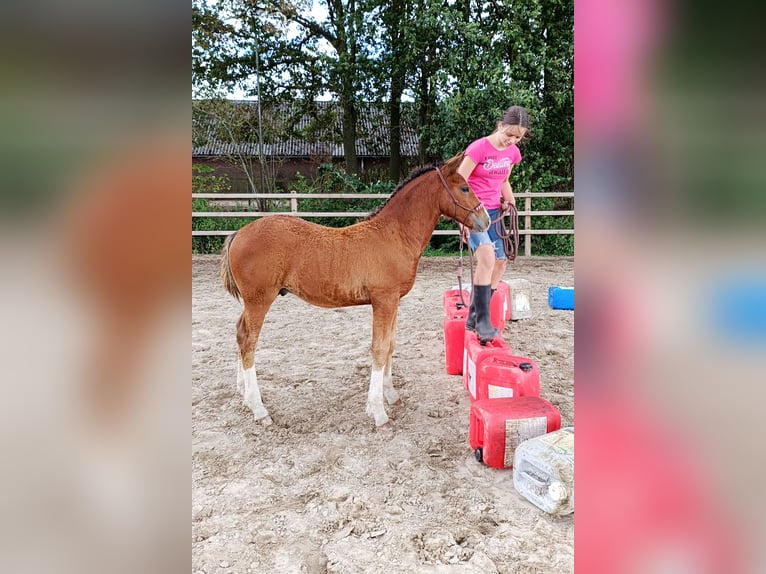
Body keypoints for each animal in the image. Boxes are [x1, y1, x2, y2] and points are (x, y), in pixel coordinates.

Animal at [219, 155, 490, 429]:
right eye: (464, 188)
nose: (486, 219)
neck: (394, 235)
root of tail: (238, 234)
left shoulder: (394, 301)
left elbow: (390, 345)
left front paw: (390, 394)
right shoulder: (383, 300)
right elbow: (379, 348)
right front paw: (378, 411)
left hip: (252, 302)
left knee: (239, 333)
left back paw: (243, 394)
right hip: (259, 300)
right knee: (248, 341)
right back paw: (258, 408)